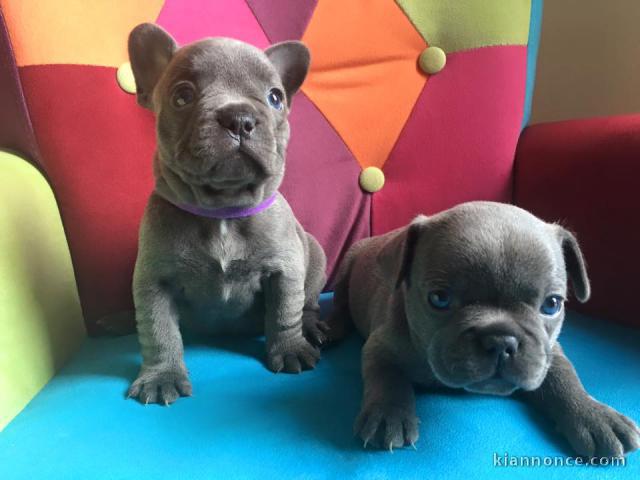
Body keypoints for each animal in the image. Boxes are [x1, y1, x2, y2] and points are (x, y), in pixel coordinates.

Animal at [125, 23, 328, 404]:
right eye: (182, 96)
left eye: (275, 97)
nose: (239, 118)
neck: (223, 212)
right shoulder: (153, 281)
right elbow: (158, 331)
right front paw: (162, 375)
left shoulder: (285, 270)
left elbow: (285, 311)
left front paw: (290, 349)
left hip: (316, 257)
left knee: (307, 302)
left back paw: (311, 325)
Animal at [330, 202, 640, 458]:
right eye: (439, 298)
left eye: (551, 304)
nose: (501, 341)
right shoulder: (380, 346)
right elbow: (386, 376)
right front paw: (387, 414)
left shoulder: (549, 352)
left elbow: (565, 377)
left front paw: (593, 415)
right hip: (347, 266)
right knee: (340, 302)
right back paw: (331, 328)